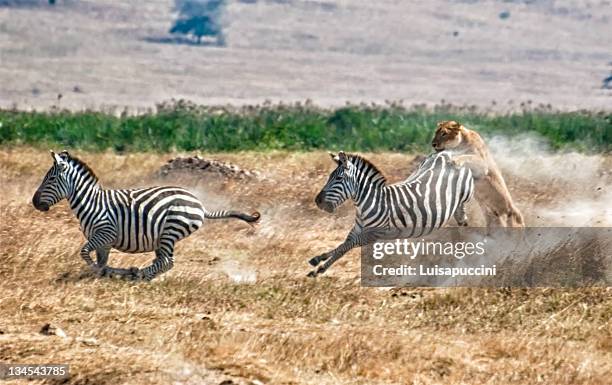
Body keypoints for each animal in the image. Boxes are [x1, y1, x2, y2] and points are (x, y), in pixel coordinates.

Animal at [32, 149, 260, 280]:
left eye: (50, 179)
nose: (34, 203)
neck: (91, 202)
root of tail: (200, 204)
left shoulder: (104, 233)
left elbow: (85, 254)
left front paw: (110, 272)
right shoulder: (103, 242)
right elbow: (99, 261)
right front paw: (102, 274)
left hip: (171, 229)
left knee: (167, 261)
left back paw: (138, 274)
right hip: (164, 236)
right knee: (163, 262)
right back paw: (142, 275)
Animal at [308, 150, 476, 276]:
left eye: (339, 178)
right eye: (329, 177)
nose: (318, 201)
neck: (369, 202)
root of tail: (446, 154)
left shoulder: (373, 234)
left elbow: (347, 246)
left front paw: (320, 267)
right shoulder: (357, 229)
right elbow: (343, 245)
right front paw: (319, 261)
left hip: (465, 194)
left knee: (463, 213)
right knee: (460, 217)